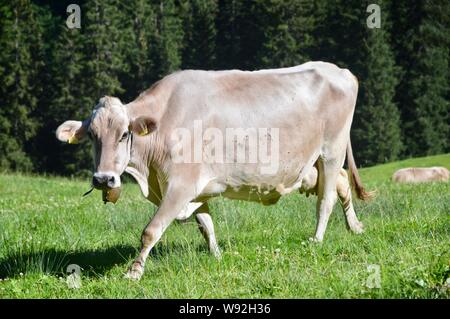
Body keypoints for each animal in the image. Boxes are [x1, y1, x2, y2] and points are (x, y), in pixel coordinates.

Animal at [56, 62, 372, 280]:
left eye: (124, 134)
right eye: (92, 136)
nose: (103, 179)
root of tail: (339, 70)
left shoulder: (181, 185)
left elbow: (151, 231)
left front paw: (134, 271)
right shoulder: (195, 190)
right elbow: (205, 224)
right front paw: (217, 255)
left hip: (331, 150)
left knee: (326, 199)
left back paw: (317, 240)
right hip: (313, 163)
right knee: (341, 184)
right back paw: (355, 227)